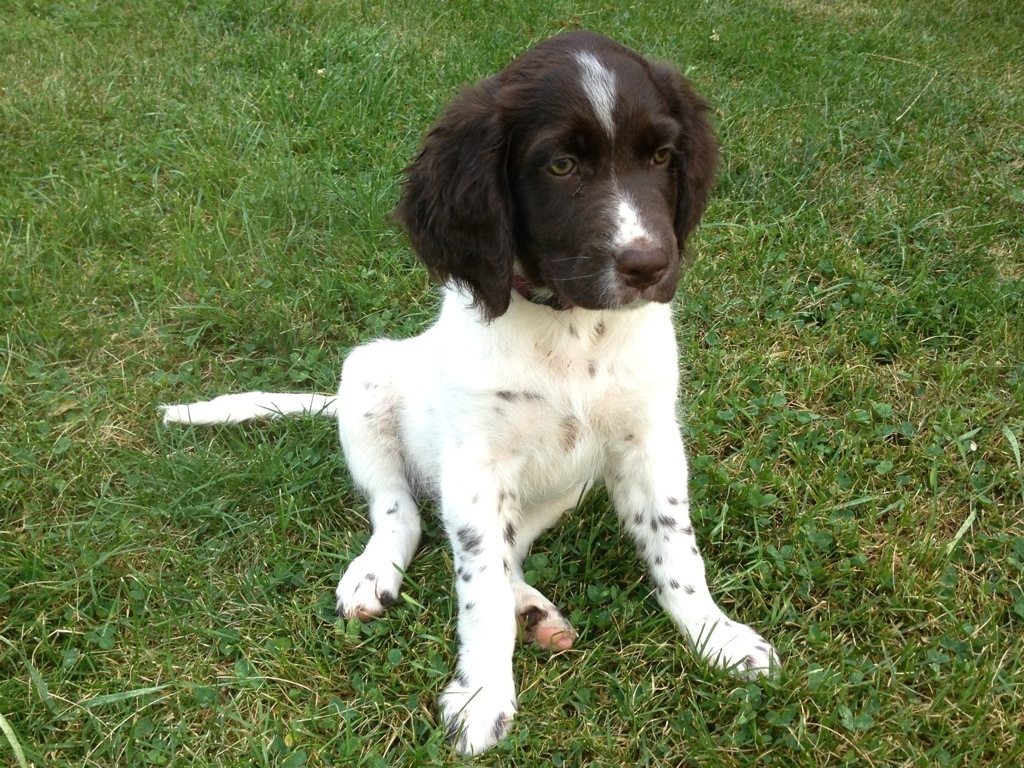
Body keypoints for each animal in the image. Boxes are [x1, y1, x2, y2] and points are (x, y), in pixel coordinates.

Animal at [161, 30, 778, 755]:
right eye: (561, 165)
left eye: (661, 157)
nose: (651, 265)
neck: (574, 329)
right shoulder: (477, 465)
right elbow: (477, 591)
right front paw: (484, 693)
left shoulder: (647, 439)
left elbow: (675, 548)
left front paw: (716, 636)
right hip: (367, 382)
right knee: (402, 513)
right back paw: (377, 572)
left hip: (565, 485)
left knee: (511, 547)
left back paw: (534, 609)